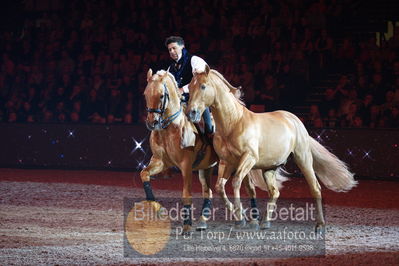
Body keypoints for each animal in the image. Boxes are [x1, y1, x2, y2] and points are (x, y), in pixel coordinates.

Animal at [142, 69, 264, 232]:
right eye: (145, 94)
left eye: (161, 95)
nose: (152, 122)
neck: (171, 128)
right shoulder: (160, 162)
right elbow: (144, 175)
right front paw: (159, 209)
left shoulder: (185, 165)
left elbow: (186, 194)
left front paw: (187, 226)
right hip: (206, 168)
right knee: (209, 191)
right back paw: (206, 219)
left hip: (241, 163)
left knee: (249, 188)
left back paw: (253, 219)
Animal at [188, 65, 360, 232]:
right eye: (189, 87)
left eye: (203, 86)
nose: (192, 113)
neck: (233, 123)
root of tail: (296, 120)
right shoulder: (226, 162)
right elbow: (220, 187)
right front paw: (240, 217)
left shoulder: (249, 158)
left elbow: (236, 182)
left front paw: (241, 220)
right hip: (269, 168)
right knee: (274, 191)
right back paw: (265, 222)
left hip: (303, 159)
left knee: (315, 188)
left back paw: (320, 225)